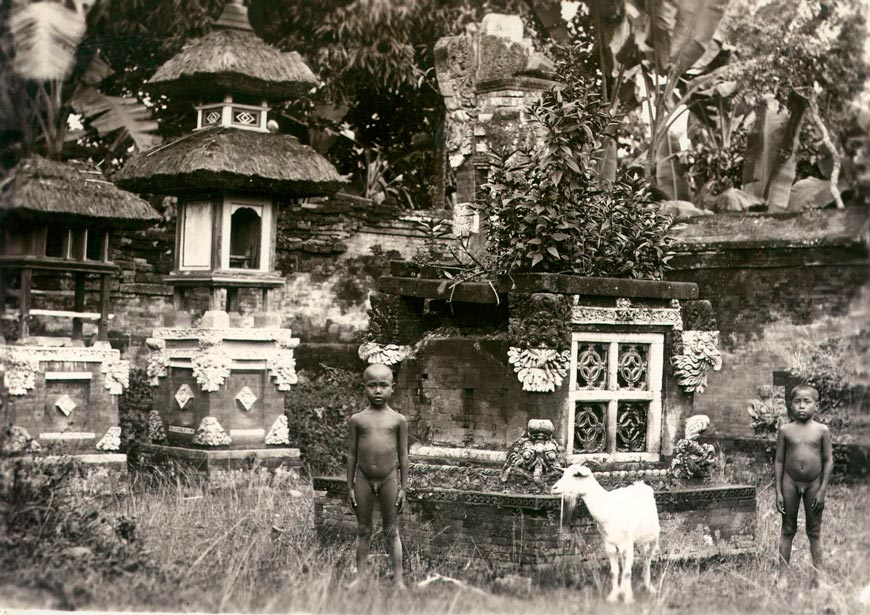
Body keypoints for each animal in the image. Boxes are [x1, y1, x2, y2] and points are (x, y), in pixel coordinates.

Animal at [556, 464, 656, 604]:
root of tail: (640, 484)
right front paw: (614, 596)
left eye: (575, 475)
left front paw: (628, 599)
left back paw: (649, 587)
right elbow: (615, 571)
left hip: (652, 538)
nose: (554, 488)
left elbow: (627, 573)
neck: (608, 509)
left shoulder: (628, 543)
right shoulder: (610, 545)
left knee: (647, 560)